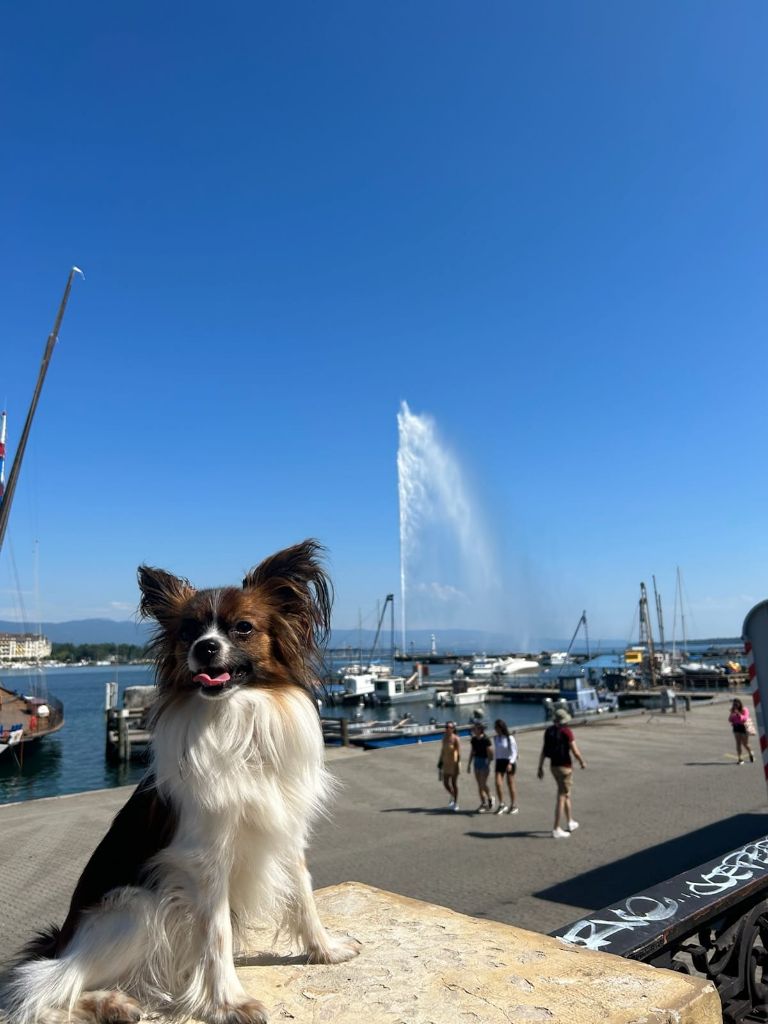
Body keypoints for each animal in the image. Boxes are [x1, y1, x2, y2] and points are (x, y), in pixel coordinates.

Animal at [3, 540, 360, 1019]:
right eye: (188, 633)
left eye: (243, 628)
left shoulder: (286, 833)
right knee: (41, 988)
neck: (235, 719)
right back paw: (109, 1002)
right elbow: (217, 935)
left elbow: (303, 893)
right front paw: (228, 1002)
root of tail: (61, 941)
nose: (206, 648)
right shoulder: (205, 860)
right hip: (138, 910)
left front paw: (324, 950)